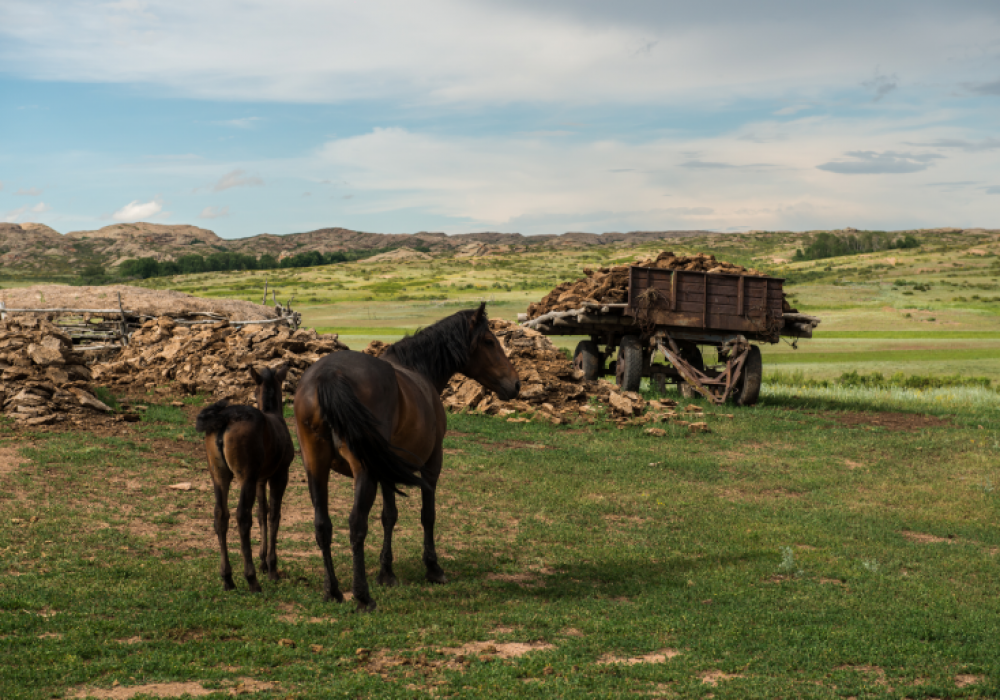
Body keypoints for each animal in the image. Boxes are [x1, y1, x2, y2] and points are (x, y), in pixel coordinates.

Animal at [193, 364, 292, 592]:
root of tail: (224, 419)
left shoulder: (261, 479)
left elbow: (262, 512)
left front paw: (263, 562)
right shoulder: (280, 474)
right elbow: (274, 515)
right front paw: (272, 568)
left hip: (219, 475)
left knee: (221, 515)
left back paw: (228, 578)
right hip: (245, 477)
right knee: (242, 517)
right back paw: (251, 579)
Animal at [292, 304, 520, 608]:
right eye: (489, 341)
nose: (516, 384)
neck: (416, 369)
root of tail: (328, 375)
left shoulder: (387, 469)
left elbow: (389, 516)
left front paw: (387, 573)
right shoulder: (432, 465)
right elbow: (428, 515)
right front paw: (433, 568)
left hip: (316, 468)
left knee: (322, 526)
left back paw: (333, 591)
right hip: (363, 472)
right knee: (356, 525)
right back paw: (363, 596)